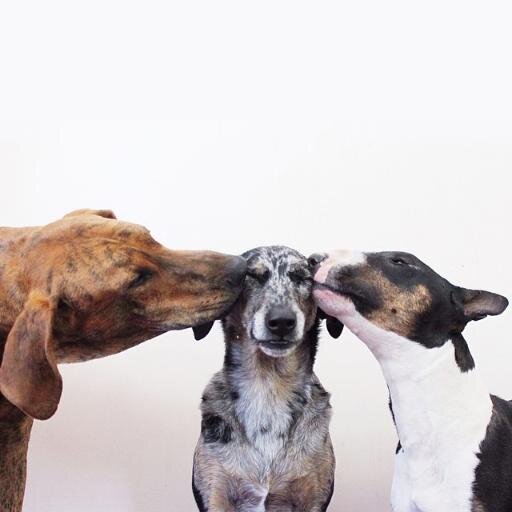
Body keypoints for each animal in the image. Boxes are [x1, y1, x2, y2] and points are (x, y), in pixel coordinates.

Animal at [191, 246, 340, 510]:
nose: (281, 321)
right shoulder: (215, 492)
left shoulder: (313, 497)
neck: (270, 385)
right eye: (251, 276)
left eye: (302, 277)